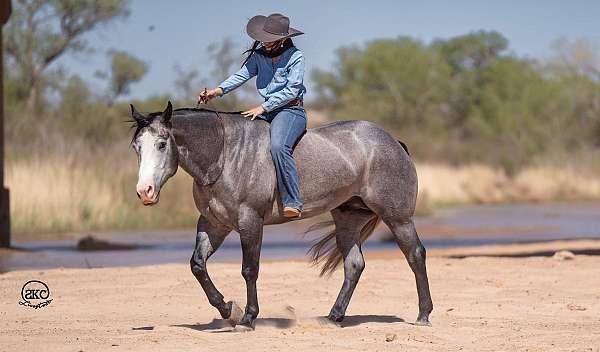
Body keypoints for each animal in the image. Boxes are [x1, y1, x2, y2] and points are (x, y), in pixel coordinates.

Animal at [130, 101, 432, 330]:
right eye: (137, 147)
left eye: (161, 144)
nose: (144, 191)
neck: (225, 155)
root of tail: (392, 141)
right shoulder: (213, 224)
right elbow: (197, 265)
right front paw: (228, 309)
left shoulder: (250, 221)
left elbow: (249, 269)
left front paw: (248, 317)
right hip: (348, 219)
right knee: (354, 265)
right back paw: (334, 316)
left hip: (398, 218)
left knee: (415, 255)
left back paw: (423, 315)